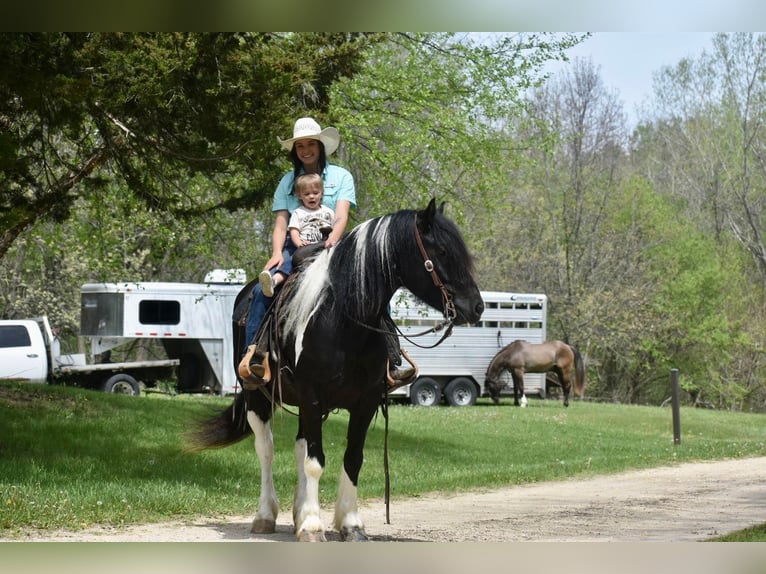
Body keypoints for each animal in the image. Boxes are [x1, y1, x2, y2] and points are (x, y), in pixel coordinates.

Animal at [186, 200, 484, 544]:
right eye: (444, 252)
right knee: (266, 449)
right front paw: (314, 527)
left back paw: (299, 512)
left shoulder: (365, 402)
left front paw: (350, 524)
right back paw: (266, 515)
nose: (477, 307)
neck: (346, 322)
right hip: (256, 396)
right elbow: (315, 463)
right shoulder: (312, 396)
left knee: (299, 447)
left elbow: (351, 459)